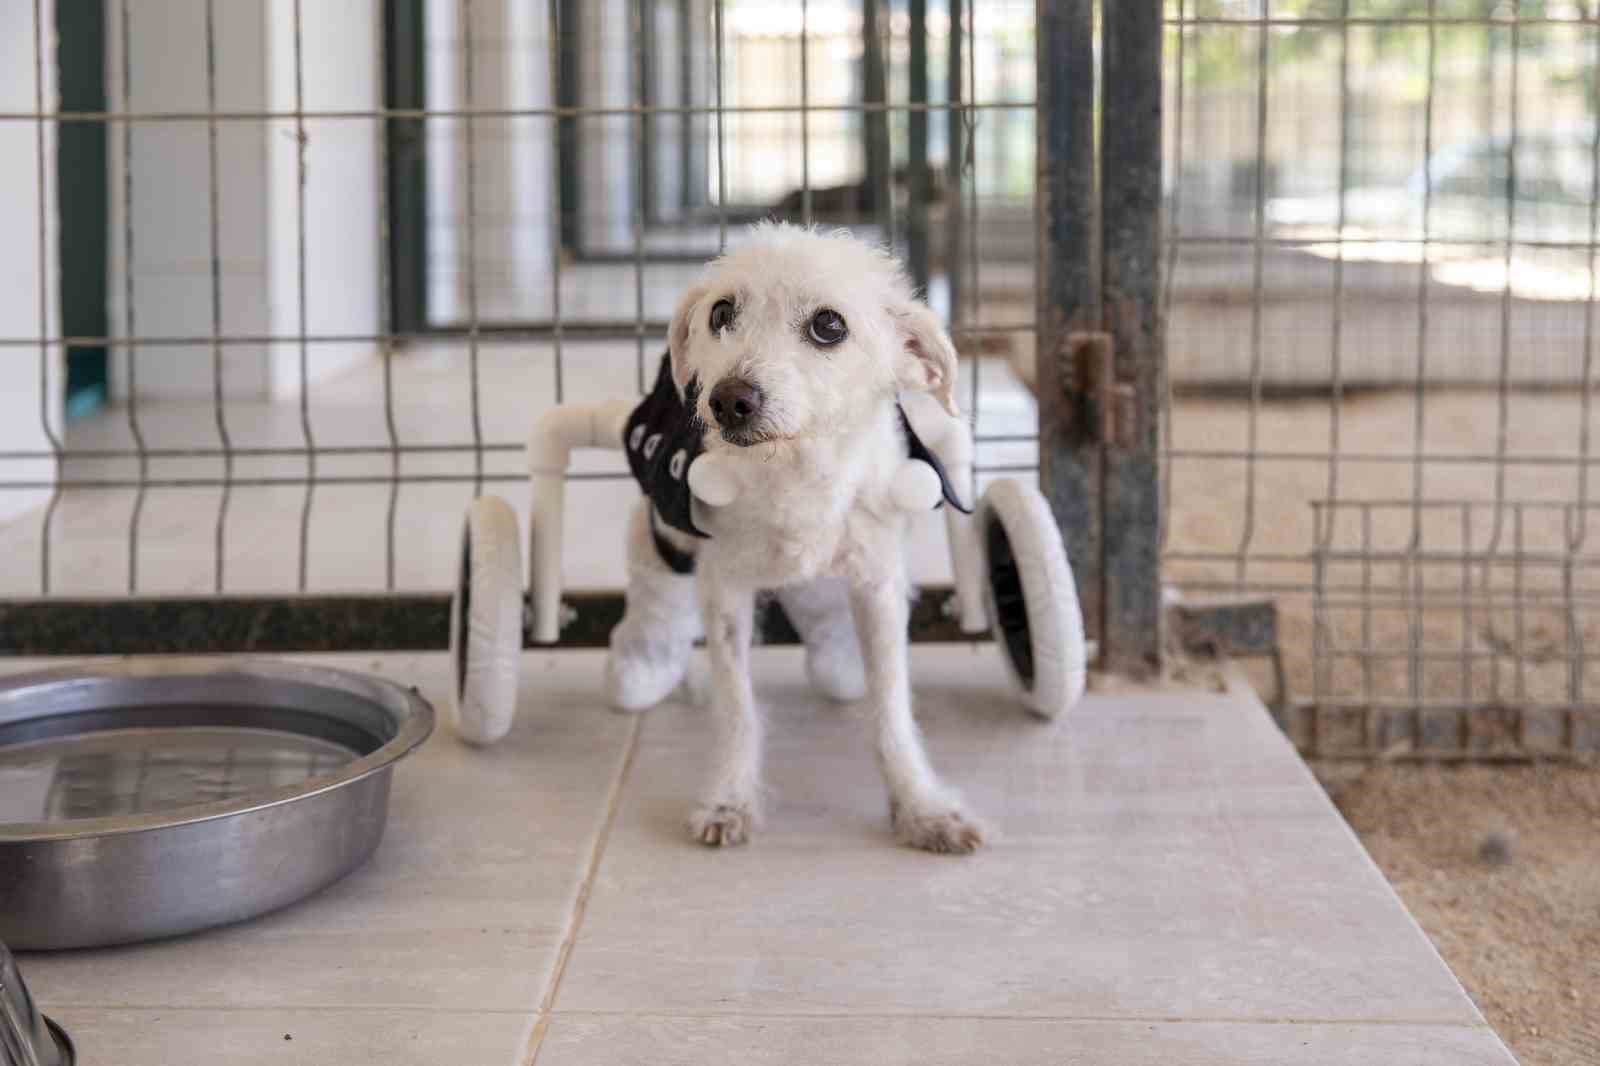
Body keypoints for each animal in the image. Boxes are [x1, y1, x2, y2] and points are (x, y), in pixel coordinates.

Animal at [601, 225, 979, 857]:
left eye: (829, 325)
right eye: (721, 312)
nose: (729, 400)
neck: (795, 471)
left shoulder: (877, 585)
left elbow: (892, 709)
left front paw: (920, 806)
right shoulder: (724, 590)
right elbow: (738, 707)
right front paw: (730, 799)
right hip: (661, 532)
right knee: (658, 588)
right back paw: (648, 662)